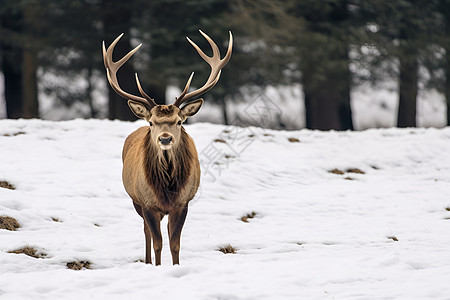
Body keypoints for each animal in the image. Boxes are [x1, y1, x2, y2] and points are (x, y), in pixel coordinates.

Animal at [103, 30, 232, 264]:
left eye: (179, 121)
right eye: (152, 123)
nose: (164, 139)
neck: (167, 187)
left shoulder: (183, 203)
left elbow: (174, 242)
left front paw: (176, 266)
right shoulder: (147, 202)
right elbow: (158, 242)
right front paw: (157, 266)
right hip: (136, 199)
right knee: (145, 230)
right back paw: (146, 261)